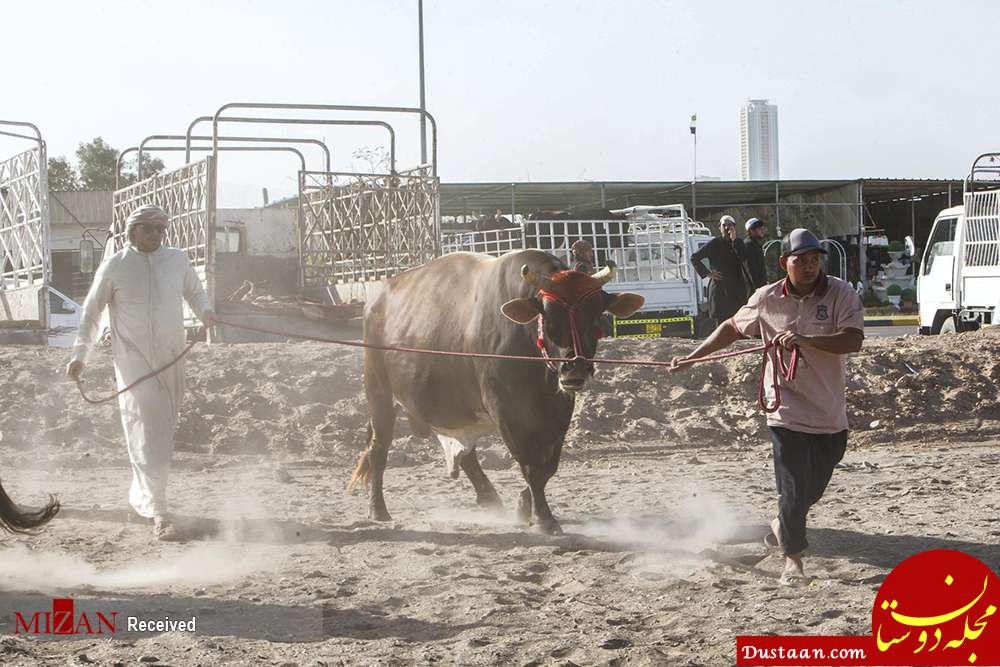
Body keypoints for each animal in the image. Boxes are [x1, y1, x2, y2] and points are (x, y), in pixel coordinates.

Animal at [348, 248, 644, 536]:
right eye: (550, 318)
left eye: (595, 317)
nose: (575, 368)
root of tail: (377, 300)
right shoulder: (507, 411)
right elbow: (530, 465)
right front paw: (543, 518)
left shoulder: (558, 412)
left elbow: (547, 466)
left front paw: (524, 506)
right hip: (379, 393)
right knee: (378, 449)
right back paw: (378, 509)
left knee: (467, 456)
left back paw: (490, 499)